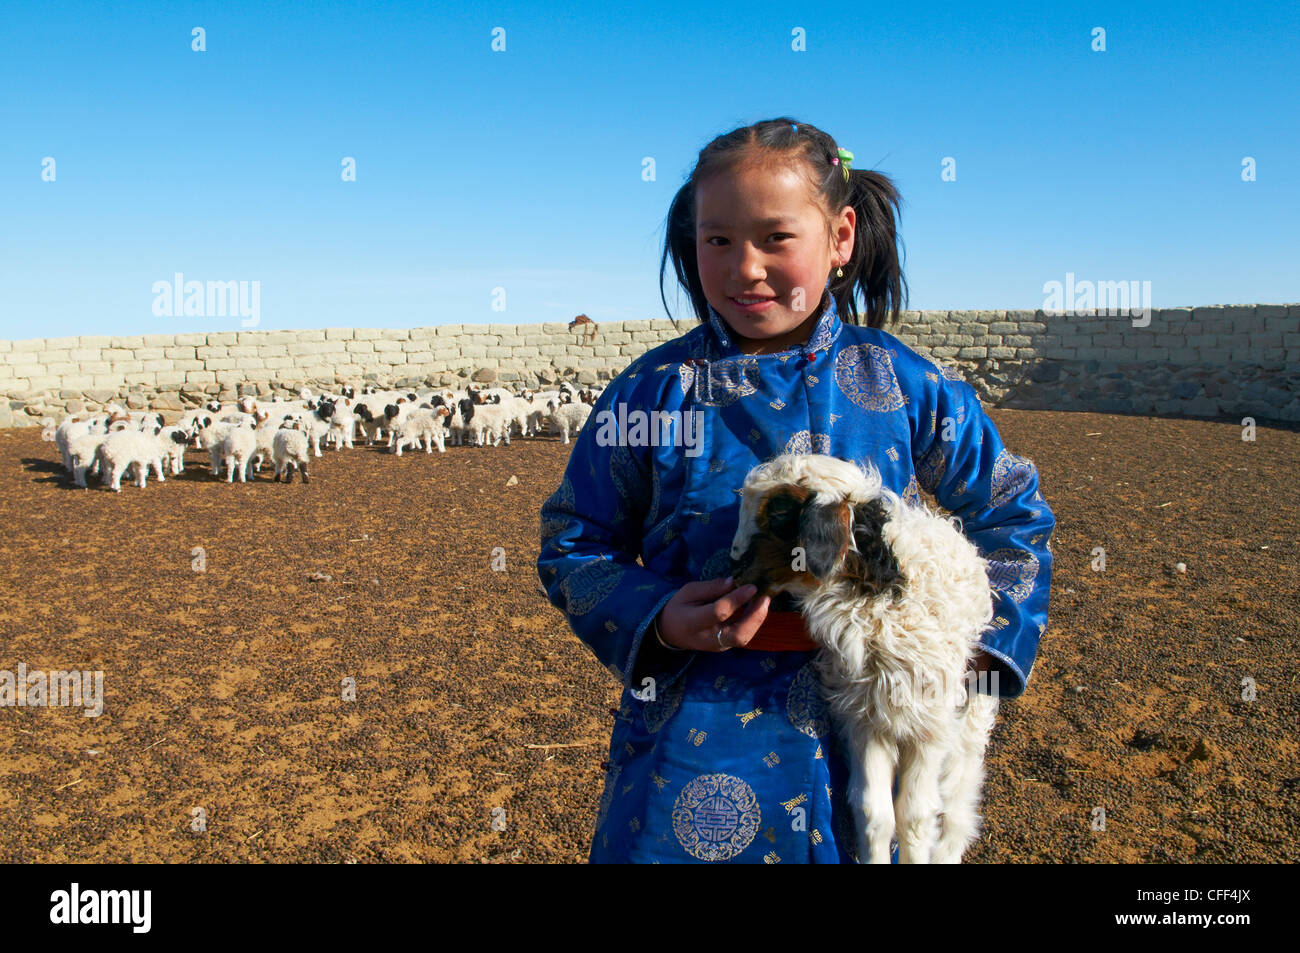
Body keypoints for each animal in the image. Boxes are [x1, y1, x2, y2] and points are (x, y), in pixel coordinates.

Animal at [733, 452, 993, 863]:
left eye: (778, 514)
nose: (733, 569)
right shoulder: (866, 718)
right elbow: (875, 813)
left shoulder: (930, 725)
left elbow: (915, 817)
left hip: (968, 723)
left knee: (956, 809)